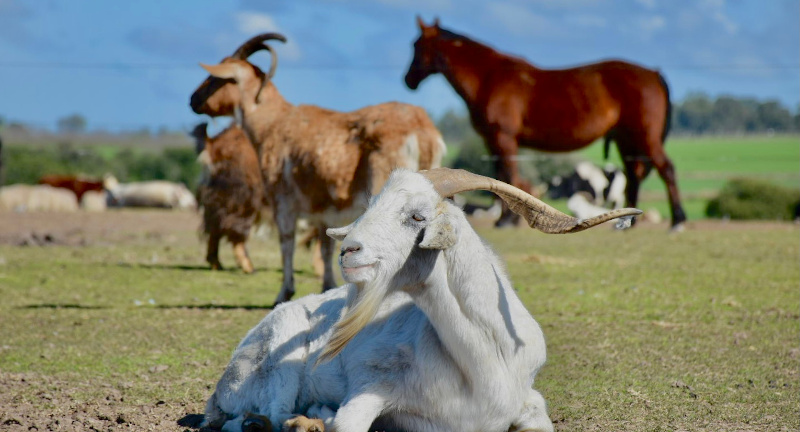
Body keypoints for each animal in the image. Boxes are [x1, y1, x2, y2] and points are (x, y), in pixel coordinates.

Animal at [192, 122, 264, 274]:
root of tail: (213, 142)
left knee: (215, 228)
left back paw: (216, 263)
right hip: (242, 200)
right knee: (233, 230)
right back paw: (248, 267)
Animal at [203, 168, 640, 432]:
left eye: (417, 216)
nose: (349, 251)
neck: (486, 359)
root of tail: (221, 386)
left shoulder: (528, 399)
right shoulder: (370, 383)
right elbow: (345, 422)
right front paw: (323, 415)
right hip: (278, 361)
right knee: (269, 414)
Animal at [406, 18, 688, 231]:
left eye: (416, 45)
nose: (408, 80)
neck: (489, 77)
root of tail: (653, 73)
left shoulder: (503, 138)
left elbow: (507, 176)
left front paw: (506, 221)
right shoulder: (494, 141)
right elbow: (501, 177)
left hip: (645, 137)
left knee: (667, 170)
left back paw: (677, 220)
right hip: (626, 139)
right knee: (633, 175)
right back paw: (628, 223)